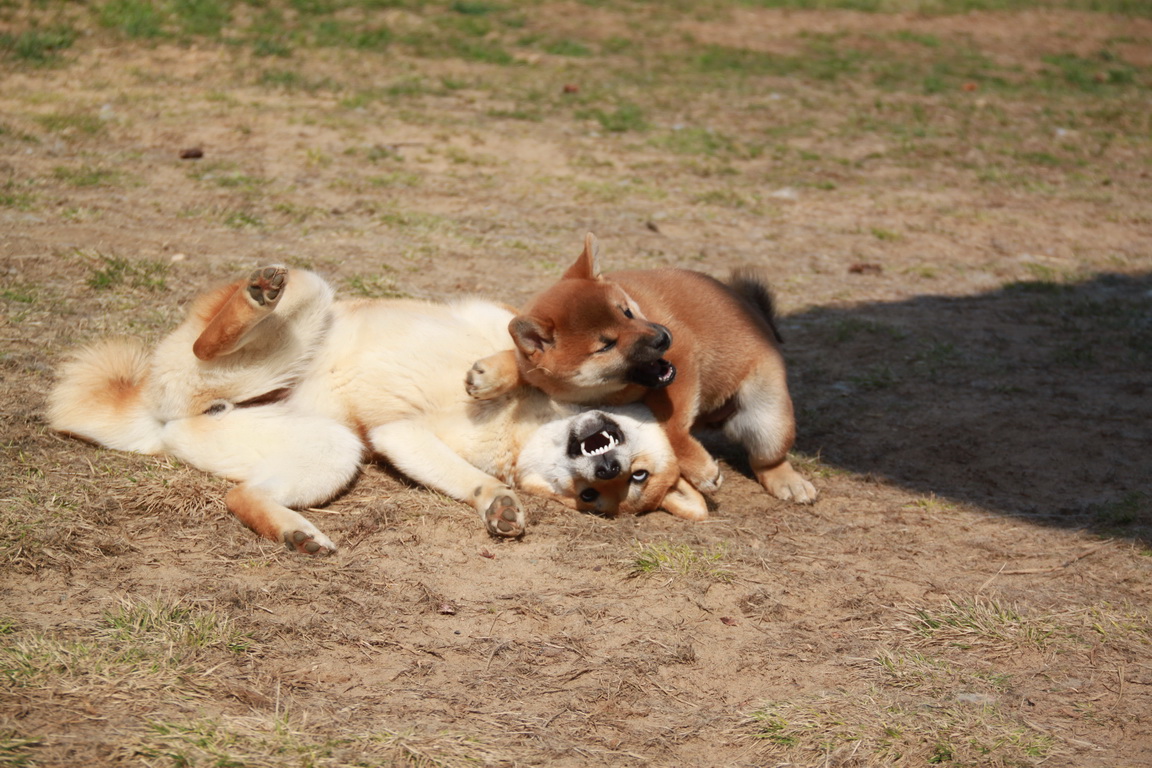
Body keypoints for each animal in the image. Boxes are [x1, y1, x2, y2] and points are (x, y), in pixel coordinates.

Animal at [467, 231, 820, 513]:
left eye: (626, 312)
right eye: (606, 345)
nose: (663, 337)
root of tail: (755, 314)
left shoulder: (682, 361)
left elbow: (671, 422)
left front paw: (700, 468)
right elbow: (520, 364)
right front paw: (491, 375)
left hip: (768, 417)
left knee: (767, 459)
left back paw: (788, 481)